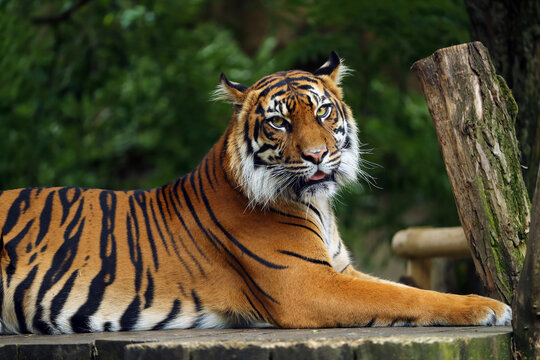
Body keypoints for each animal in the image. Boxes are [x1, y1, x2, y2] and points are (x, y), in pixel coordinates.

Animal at [0, 51, 510, 334]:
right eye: (279, 122)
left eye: (323, 111)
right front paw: (489, 307)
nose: (318, 155)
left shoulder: (339, 269)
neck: (316, 205)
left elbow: (403, 288)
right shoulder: (307, 284)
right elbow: (409, 298)